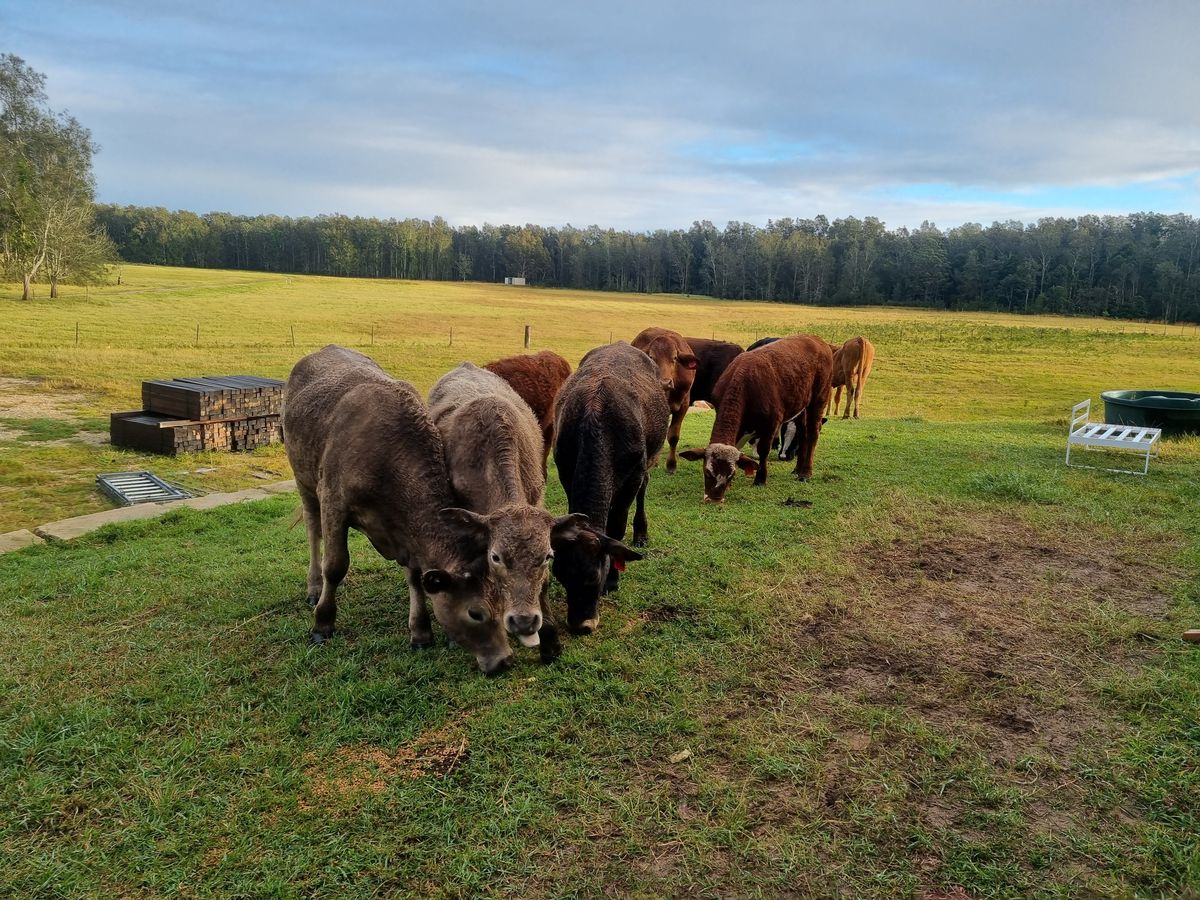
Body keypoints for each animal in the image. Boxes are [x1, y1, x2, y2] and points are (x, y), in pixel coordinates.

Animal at [283, 345, 513, 675]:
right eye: (476, 613)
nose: (505, 659)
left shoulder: (405, 531)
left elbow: (415, 575)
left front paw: (420, 631)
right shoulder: (333, 500)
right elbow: (335, 564)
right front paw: (323, 623)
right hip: (303, 476)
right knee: (314, 530)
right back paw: (315, 587)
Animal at [552, 342, 668, 634]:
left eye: (595, 576)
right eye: (559, 574)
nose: (580, 625)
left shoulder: (633, 475)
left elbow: (616, 526)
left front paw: (614, 581)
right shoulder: (564, 470)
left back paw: (641, 532)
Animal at [631, 327, 698, 474]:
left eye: (674, 358)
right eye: (651, 357)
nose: (665, 382)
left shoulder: (683, 405)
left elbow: (673, 436)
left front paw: (671, 465)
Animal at [680, 335, 832, 503]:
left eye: (731, 474)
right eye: (707, 472)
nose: (714, 498)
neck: (744, 385)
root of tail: (816, 339)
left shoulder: (771, 424)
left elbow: (763, 450)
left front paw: (760, 478)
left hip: (819, 398)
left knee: (812, 433)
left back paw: (805, 473)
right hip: (801, 406)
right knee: (803, 432)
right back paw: (797, 469)